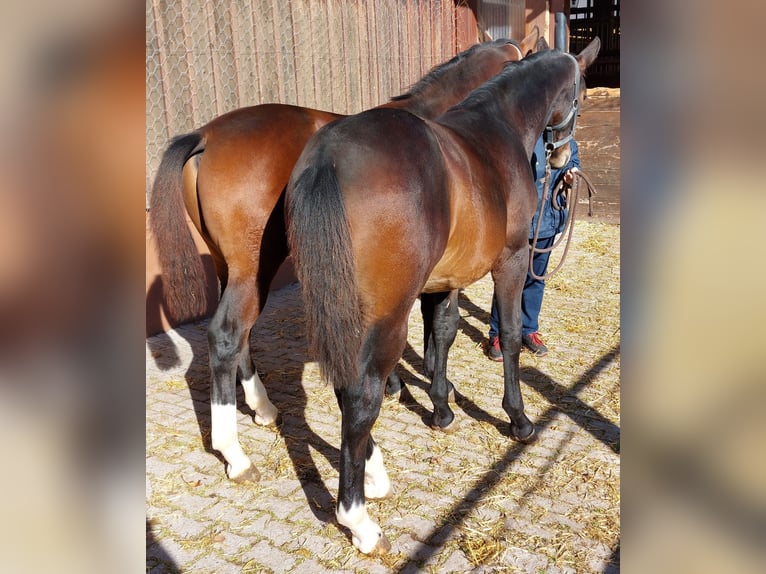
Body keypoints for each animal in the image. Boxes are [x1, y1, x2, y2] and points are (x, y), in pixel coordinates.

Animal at [149, 33, 541, 484]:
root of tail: (206, 135)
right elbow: (439, 326)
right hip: (252, 269)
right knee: (228, 335)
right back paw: (237, 453)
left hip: (230, 268)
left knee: (237, 335)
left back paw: (263, 408)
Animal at [285, 38, 601, 554]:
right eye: (582, 93)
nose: (560, 161)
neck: (495, 128)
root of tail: (328, 156)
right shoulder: (512, 260)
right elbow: (510, 336)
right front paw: (518, 419)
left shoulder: (445, 279)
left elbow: (444, 333)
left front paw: (441, 406)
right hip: (385, 316)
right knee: (361, 395)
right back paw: (358, 518)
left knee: (346, 386)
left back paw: (373, 474)